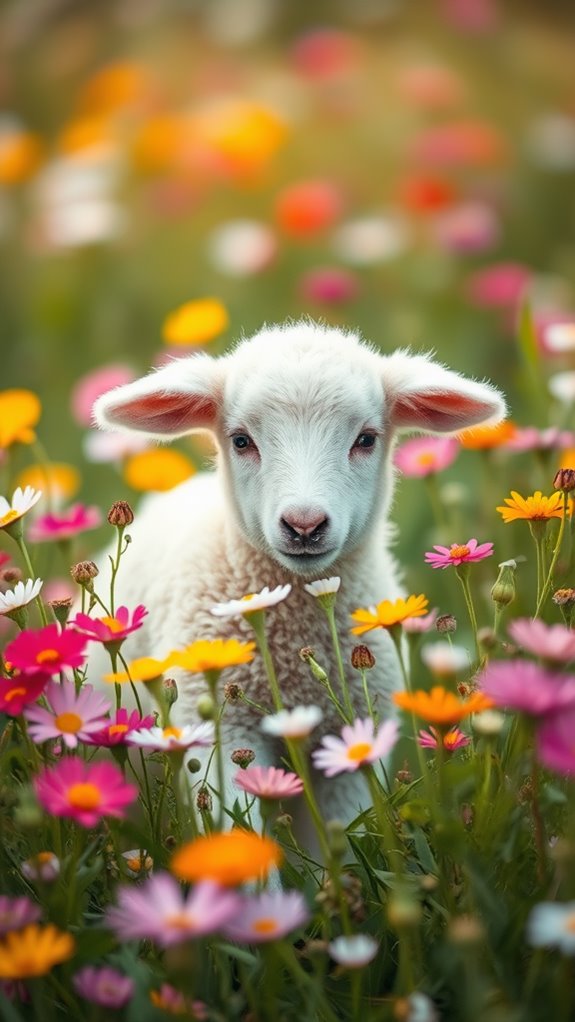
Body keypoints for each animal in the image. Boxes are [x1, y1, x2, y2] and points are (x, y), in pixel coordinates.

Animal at [93, 320, 505, 830]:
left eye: (366, 439)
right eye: (241, 440)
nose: (304, 525)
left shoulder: (352, 738)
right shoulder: (218, 727)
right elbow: (236, 835)